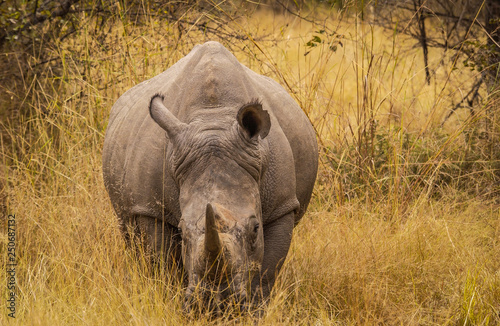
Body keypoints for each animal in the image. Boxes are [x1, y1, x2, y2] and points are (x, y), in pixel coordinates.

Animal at [102, 41, 316, 314]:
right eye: (182, 231)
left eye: (255, 228)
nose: (217, 305)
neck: (213, 120)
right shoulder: (150, 208)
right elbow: (163, 265)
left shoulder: (282, 205)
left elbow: (266, 272)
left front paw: (253, 313)